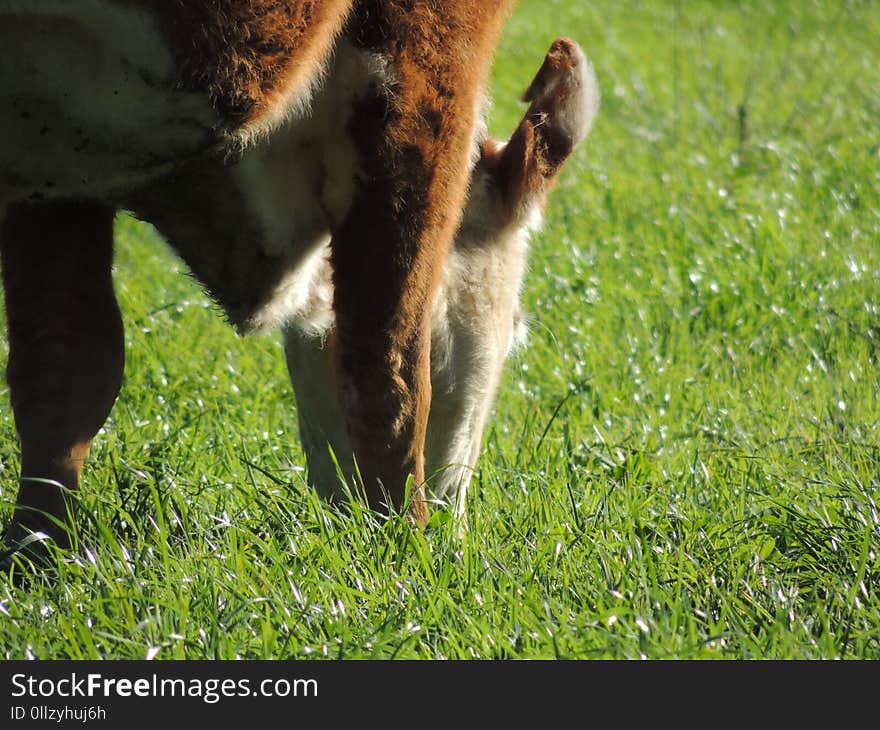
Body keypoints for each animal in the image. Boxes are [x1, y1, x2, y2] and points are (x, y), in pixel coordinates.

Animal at [0, 0, 600, 556]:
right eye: (516, 332)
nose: (451, 522)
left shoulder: (56, 166)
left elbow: (69, 367)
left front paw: (38, 553)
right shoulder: (424, 72)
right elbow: (391, 372)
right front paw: (404, 551)